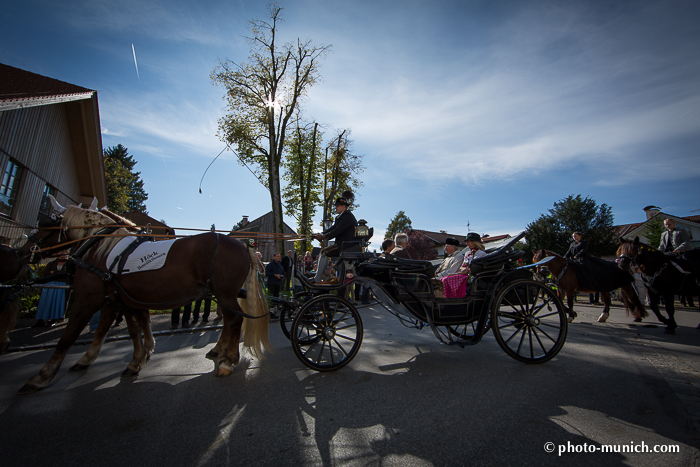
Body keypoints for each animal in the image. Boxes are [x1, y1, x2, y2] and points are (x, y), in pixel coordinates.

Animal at [15, 198, 270, 394]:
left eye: (45, 223)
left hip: (224, 294)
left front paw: (40, 377)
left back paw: (228, 361)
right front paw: (136, 359)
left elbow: (67, 337)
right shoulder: (123, 299)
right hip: (222, 294)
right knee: (229, 321)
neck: (102, 250)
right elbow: (130, 329)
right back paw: (220, 352)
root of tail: (242, 245)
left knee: (234, 320)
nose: (23, 251)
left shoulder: (87, 300)